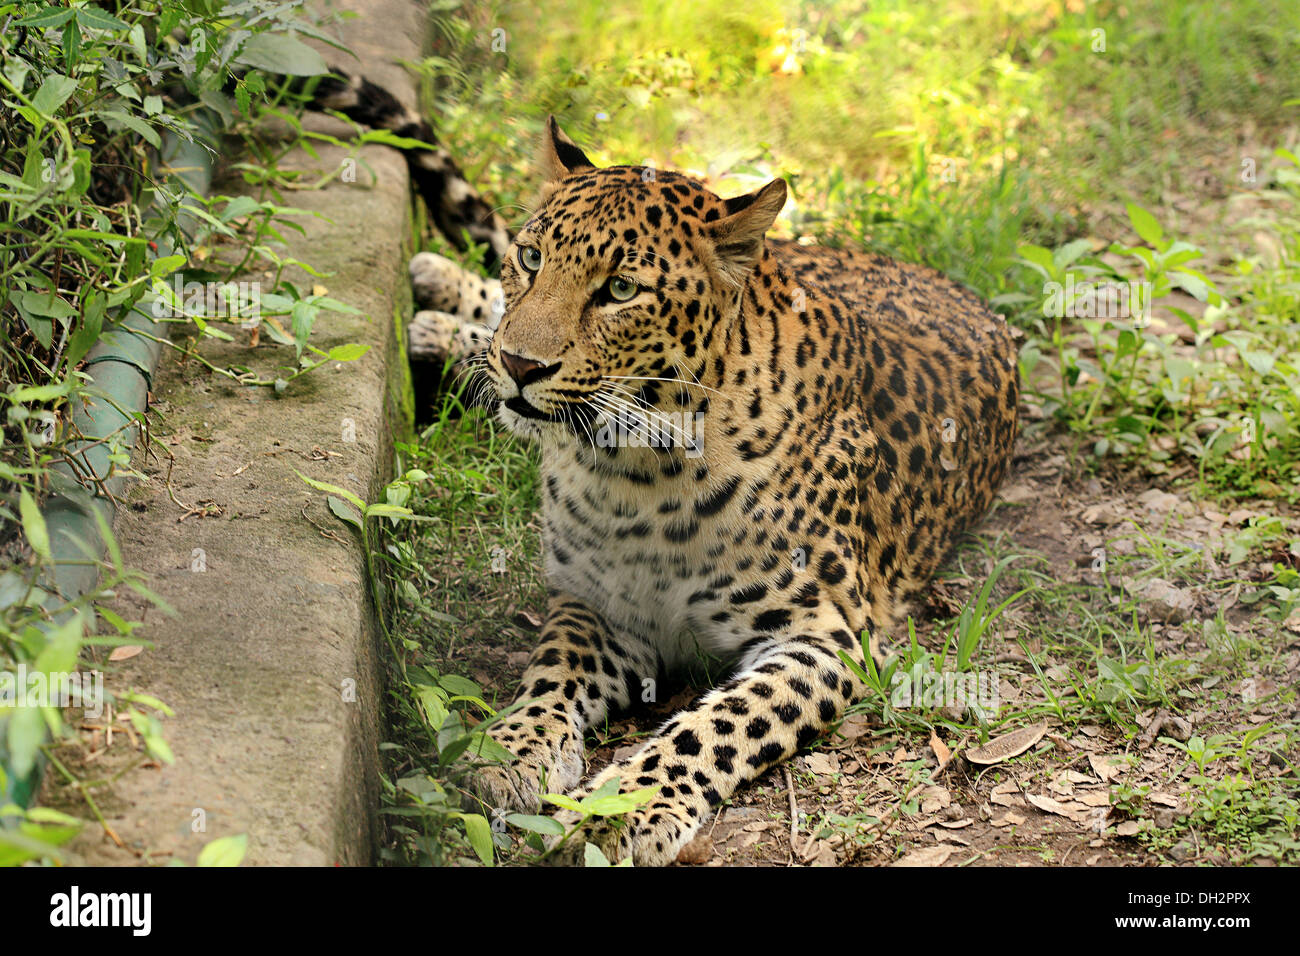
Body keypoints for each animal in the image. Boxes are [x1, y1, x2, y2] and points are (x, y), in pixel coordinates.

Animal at [400, 117, 1021, 866]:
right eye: (530, 257)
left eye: (620, 290)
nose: (521, 364)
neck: (634, 469)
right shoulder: (597, 604)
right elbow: (551, 671)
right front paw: (509, 750)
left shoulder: (825, 638)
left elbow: (714, 727)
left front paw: (618, 812)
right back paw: (443, 305)